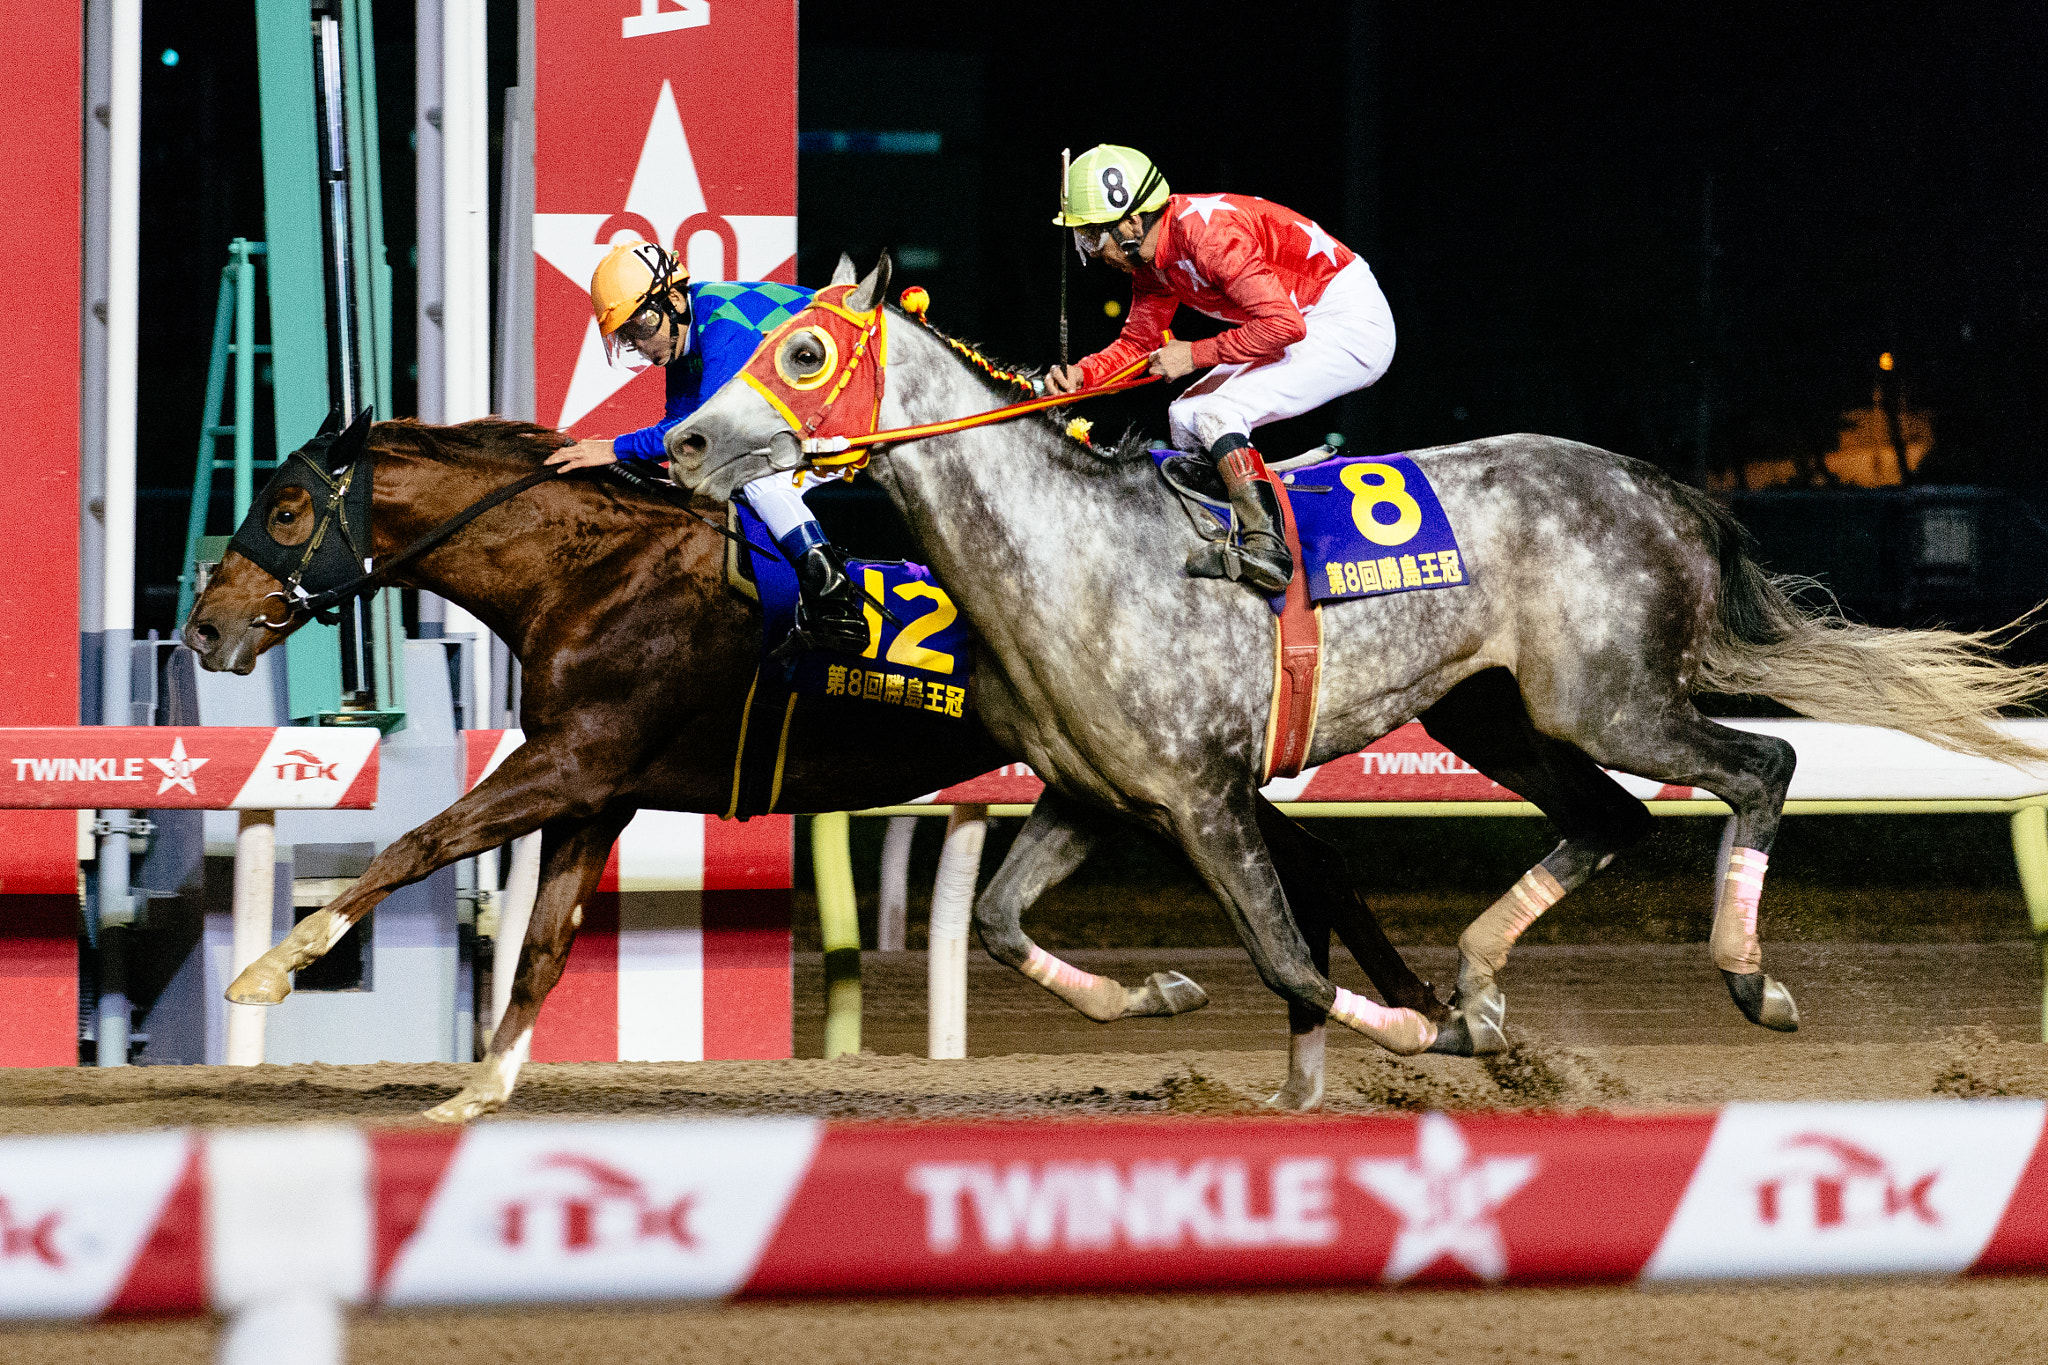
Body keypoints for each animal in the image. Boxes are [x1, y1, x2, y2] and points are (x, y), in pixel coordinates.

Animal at [184, 411, 1482, 1119]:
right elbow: (543, 943)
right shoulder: (595, 790)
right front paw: (479, 1086)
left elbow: (416, 843)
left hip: (1170, 771)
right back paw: (1377, 1027)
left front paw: (273, 966)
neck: (589, 573)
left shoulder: (571, 761)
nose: (202, 626)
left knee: (1305, 870)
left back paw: (1410, 1018)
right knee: (1311, 867)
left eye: (286, 507)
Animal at [667, 251, 2048, 1059]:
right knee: (1607, 818)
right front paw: (1158, 997)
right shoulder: (1095, 792)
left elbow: (1282, 954)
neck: (1070, 549)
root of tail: (1656, 484)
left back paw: (1747, 982)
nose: (680, 444)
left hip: (1605, 700)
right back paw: (1480, 983)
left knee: (1759, 767)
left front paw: (1403, 1024)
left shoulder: (1206, 795)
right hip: (1492, 714)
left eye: (801, 350)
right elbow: (1001, 926)